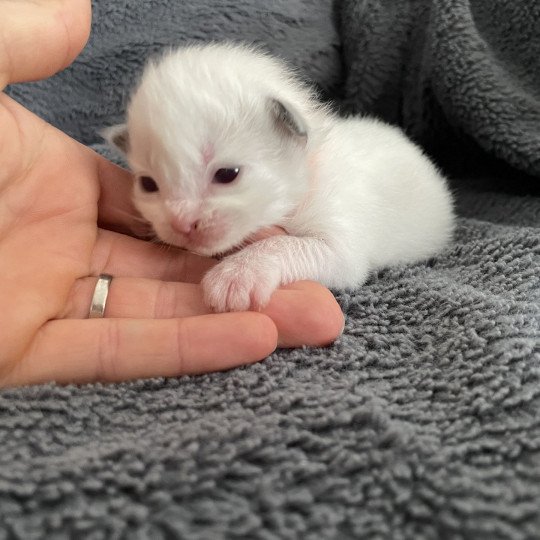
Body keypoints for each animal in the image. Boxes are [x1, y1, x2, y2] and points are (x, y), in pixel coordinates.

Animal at [103, 43, 454, 312]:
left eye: (227, 174)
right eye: (148, 184)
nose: (181, 225)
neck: (308, 174)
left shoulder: (340, 228)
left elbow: (287, 244)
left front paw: (238, 274)